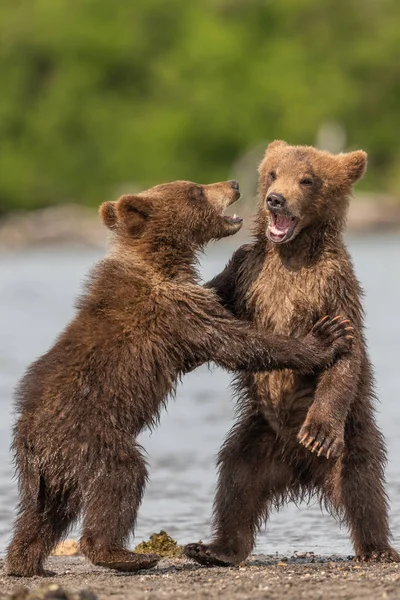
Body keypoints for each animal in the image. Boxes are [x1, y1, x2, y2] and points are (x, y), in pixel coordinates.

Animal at [5, 177, 350, 576]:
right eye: (196, 189)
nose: (233, 182)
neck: (160, 261)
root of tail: (32, 441)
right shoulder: (174, 313)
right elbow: (236, 342)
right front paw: (325, 337)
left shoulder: (184, 303)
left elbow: (215, 300)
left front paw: (238, 259)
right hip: (93, 438)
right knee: (120, 479)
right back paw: (125, 554)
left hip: (50, 475)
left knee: (43, 514)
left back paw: (27, 563)